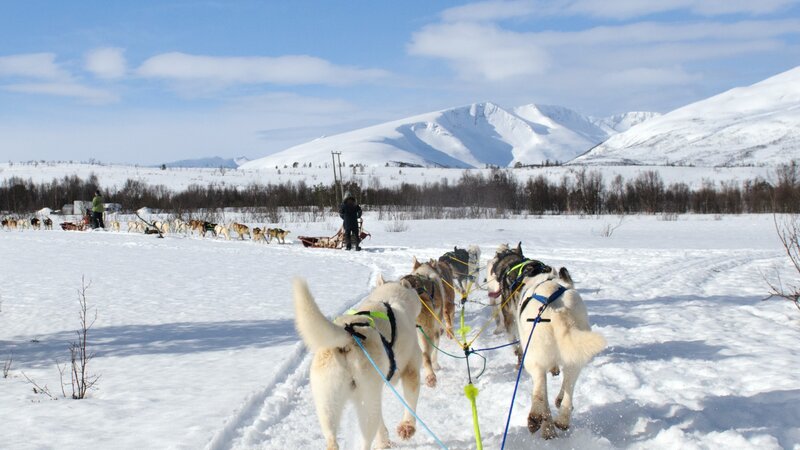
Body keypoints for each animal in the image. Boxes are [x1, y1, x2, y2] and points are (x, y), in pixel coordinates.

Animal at [290, 278, 422, 450]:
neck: (390, 299)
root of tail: (348, 335)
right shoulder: (411, 369)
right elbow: (410, 402)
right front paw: (407, 427)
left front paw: (384, 441)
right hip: (367, 402)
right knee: (365, 439)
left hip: (327, 403)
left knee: (332, 439)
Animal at [516, 268, 604, 440]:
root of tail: (557, 310)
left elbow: (545, 401)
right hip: (576, 359)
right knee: (568, 389)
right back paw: (562, 419)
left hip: (533, 359)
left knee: (539, 390)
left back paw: (537, 420)